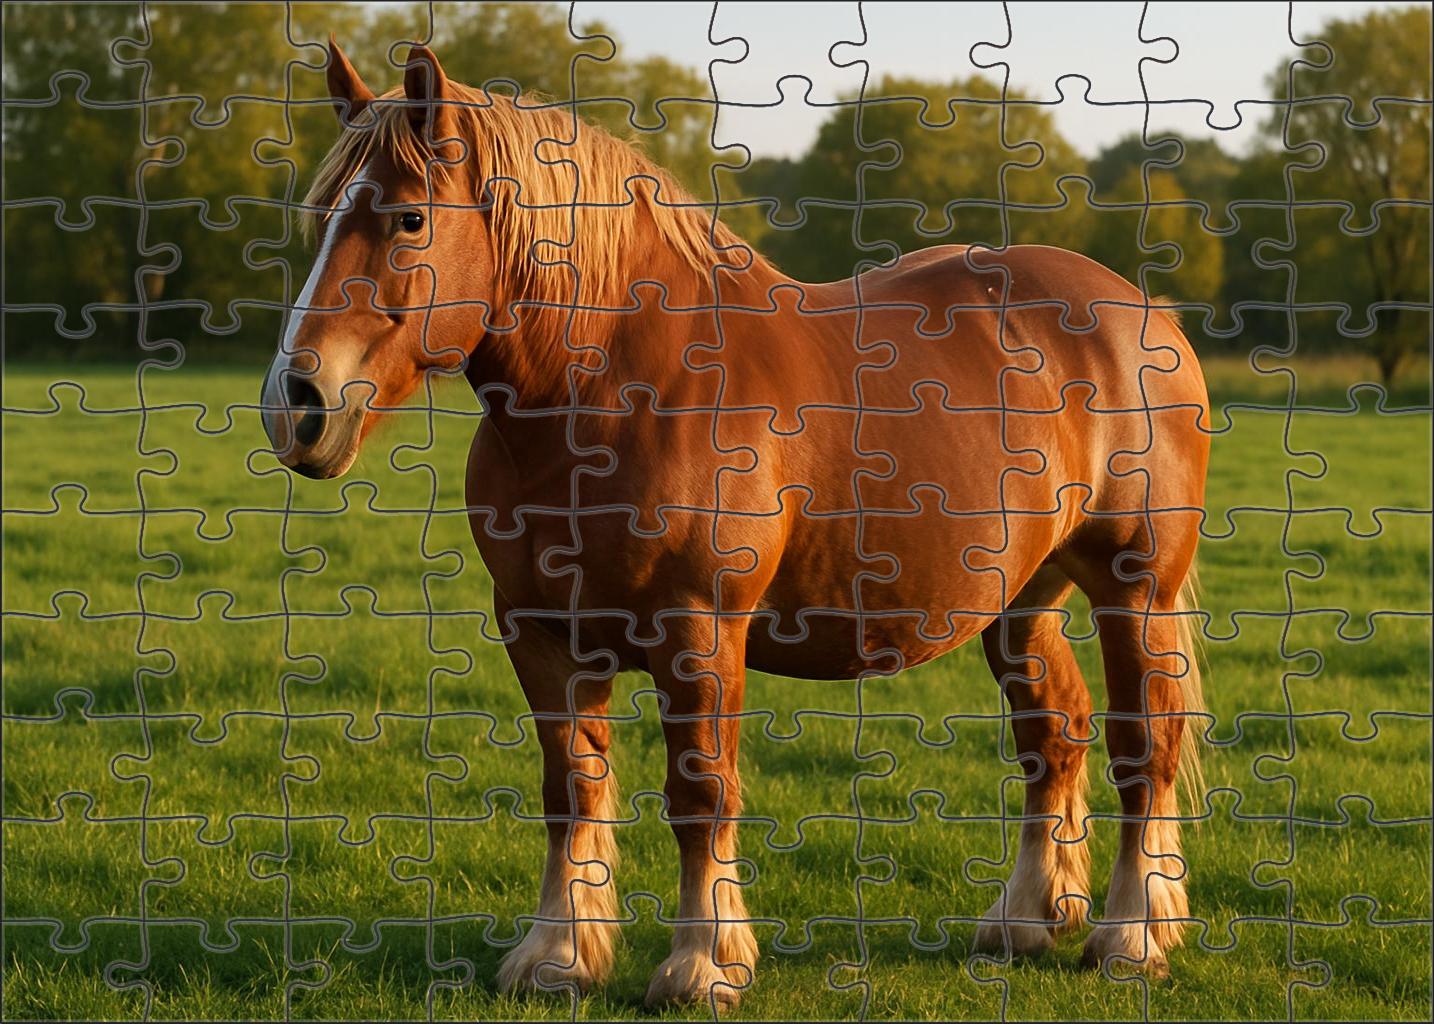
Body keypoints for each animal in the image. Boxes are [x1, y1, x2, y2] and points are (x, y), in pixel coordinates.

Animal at [260, 41, 1210, 1008]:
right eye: (322, 218)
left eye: (409, 219)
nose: (297, 404)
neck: (617, 386)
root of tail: (1138, 314)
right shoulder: (540, 633)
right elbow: (570, 788)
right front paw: (559, 956)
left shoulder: (699, 632)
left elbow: (701, 795)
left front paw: (703, 964)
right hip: (1024, 603)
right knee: (1055, 736)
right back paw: (1024, 921)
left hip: (1134, 591)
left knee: (1145, 744)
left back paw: (1132, 936)